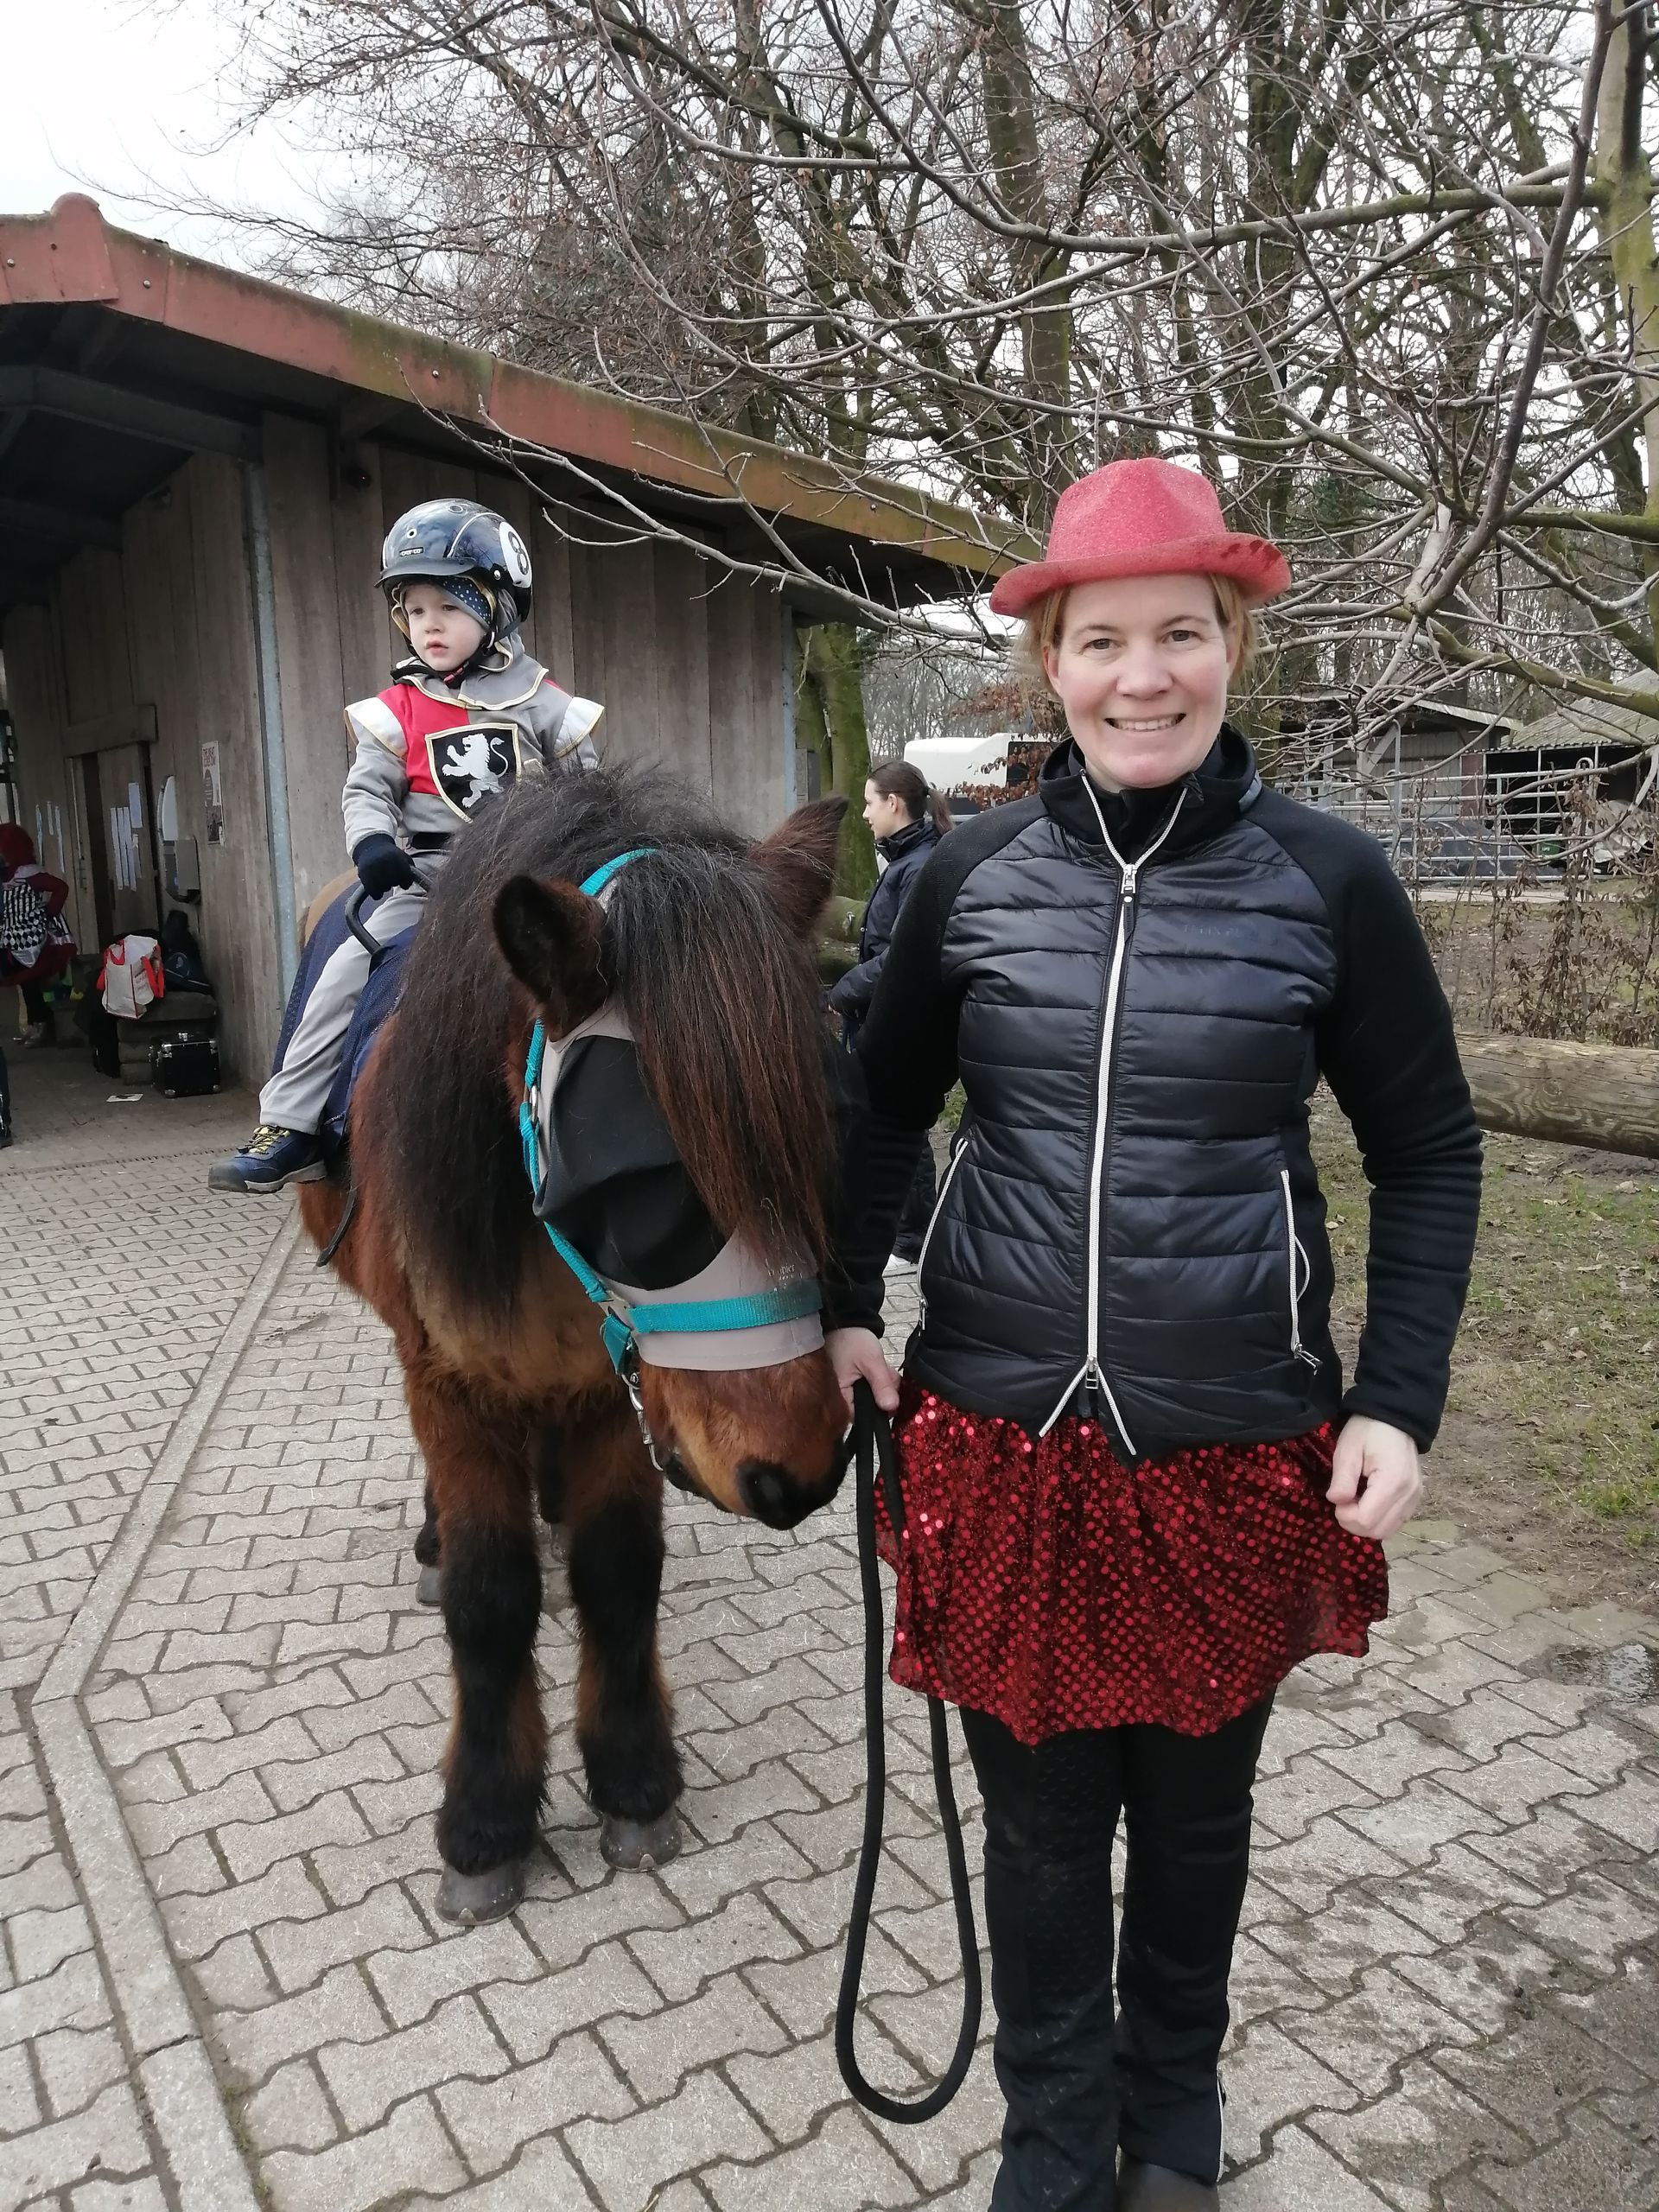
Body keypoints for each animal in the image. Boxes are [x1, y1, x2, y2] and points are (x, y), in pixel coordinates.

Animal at [297, 765, 852, 1921]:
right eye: (638, 1171)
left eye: (821, 1123)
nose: (797, 1468)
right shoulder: (448, 1385)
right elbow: (490, 1596)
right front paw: (485, 1823)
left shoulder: (615, 1392)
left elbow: (618, 1571)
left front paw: (635, 1779)